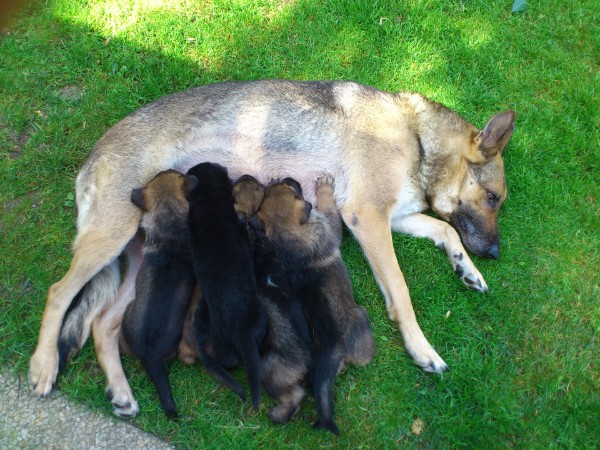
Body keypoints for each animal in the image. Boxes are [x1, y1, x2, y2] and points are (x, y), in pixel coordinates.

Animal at [252, 175, 376, 432]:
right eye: (292, 189)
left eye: (279, 187)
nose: (289, 177)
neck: (286, 236)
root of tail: (332, 346)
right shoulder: (326, 227)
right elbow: (329, 212)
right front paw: (325, 188)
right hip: (361, 318)